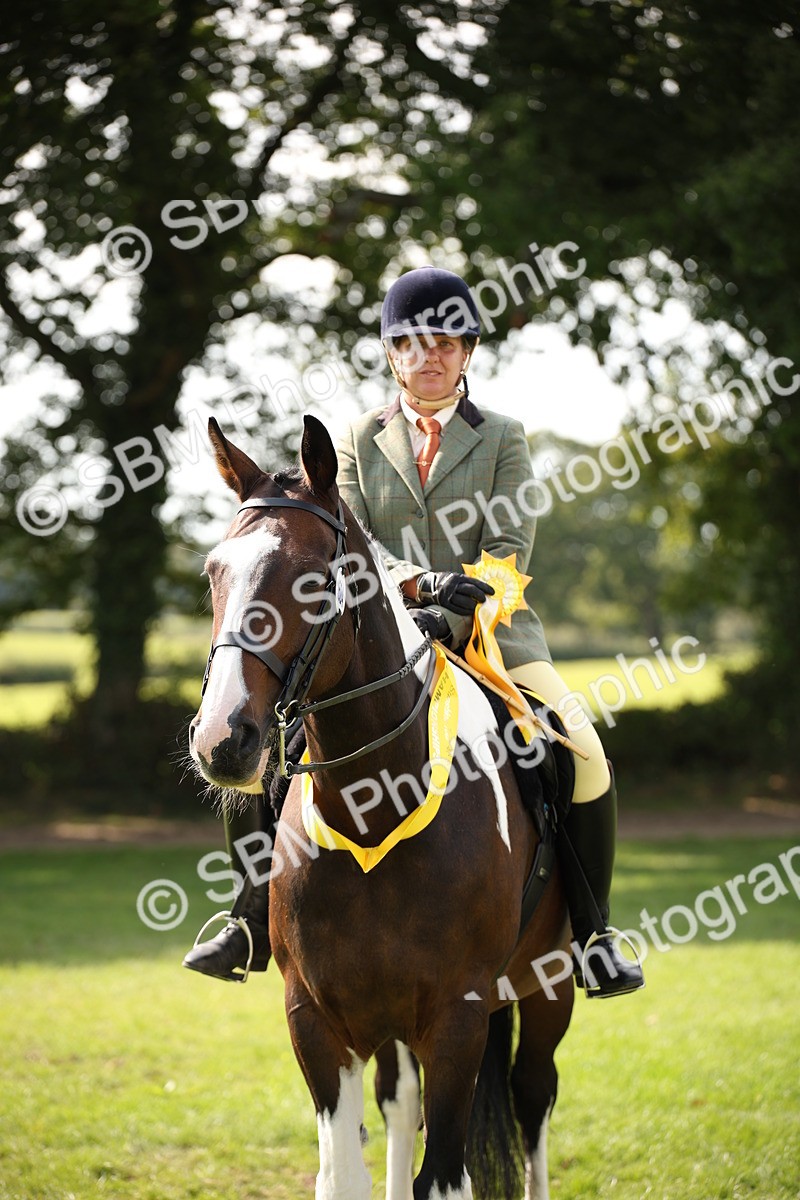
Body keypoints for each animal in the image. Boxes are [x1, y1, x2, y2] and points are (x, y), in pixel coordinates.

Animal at [189, 414, 574, 1200]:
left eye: (311, 579)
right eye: (214, 572)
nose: (223, 740)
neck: (376, 804)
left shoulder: (458, 1022)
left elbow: (446, 1174)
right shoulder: (315, 1020)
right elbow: (345, 1172)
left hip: (548, 990)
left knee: (532, 1097)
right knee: (401, 1105)